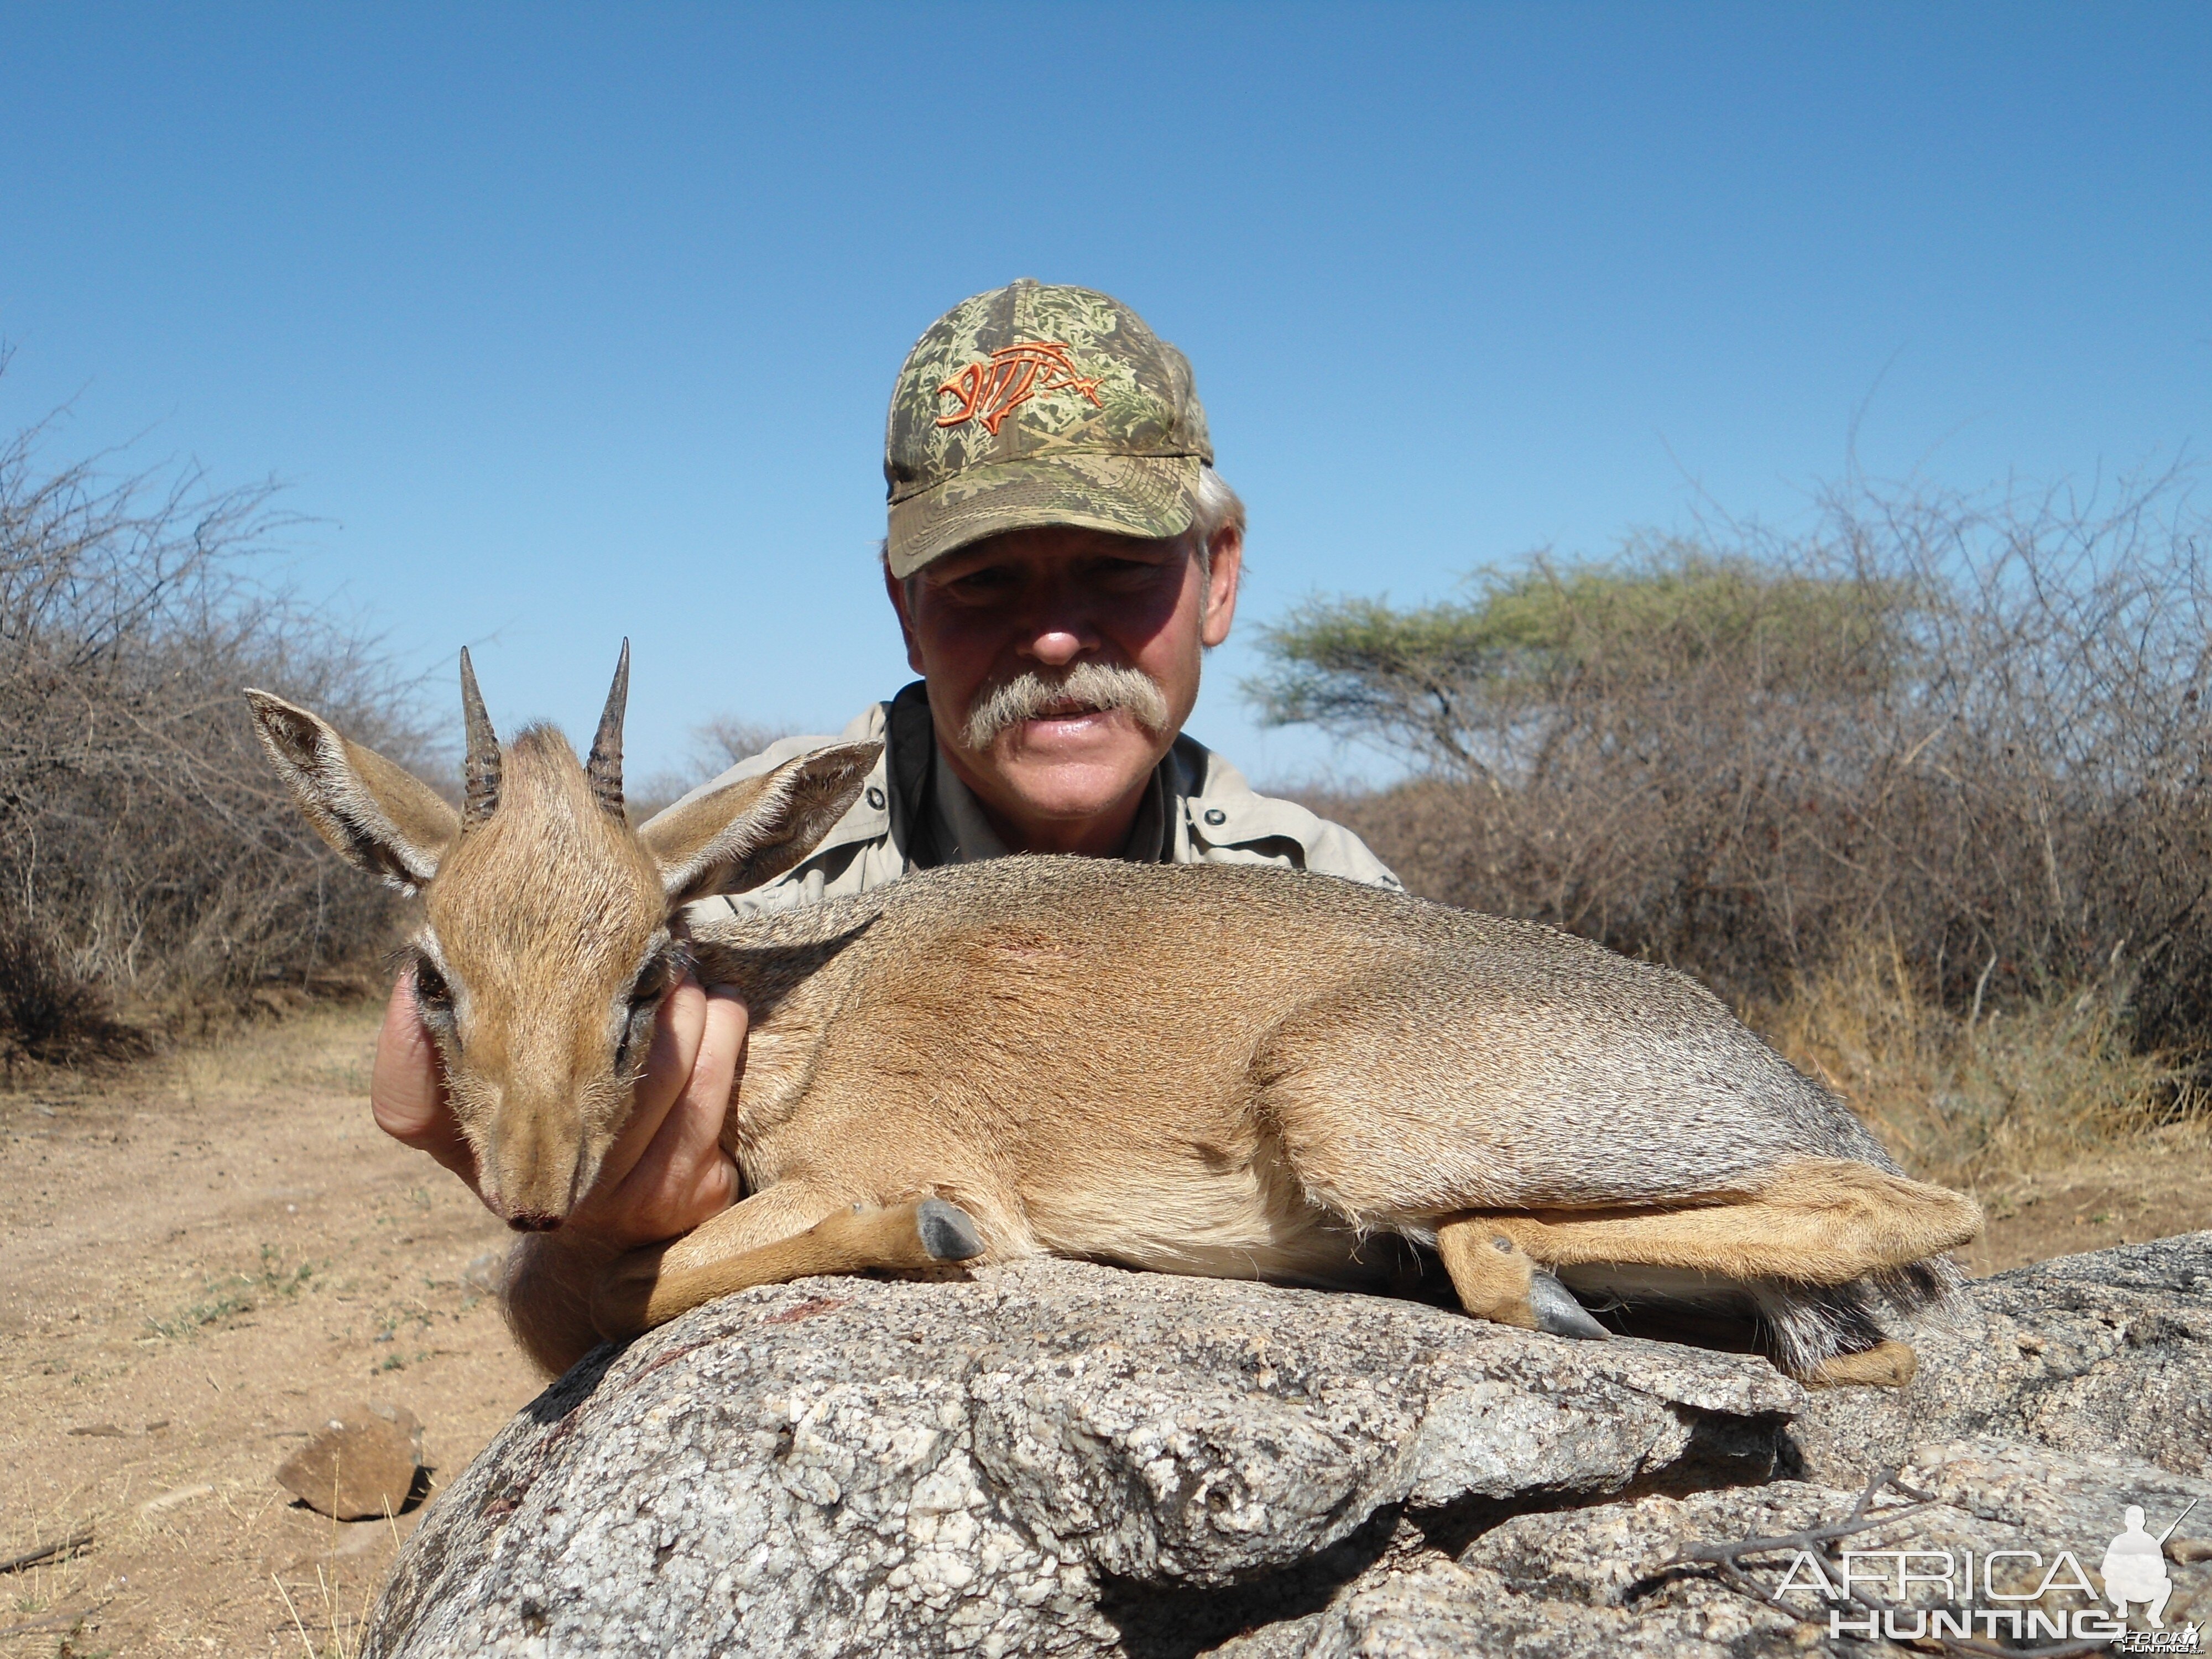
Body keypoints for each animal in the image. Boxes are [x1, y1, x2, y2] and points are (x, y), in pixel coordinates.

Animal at [251, 650, 1982, 1389]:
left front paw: (927, 1238)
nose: (534, 1187)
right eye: (433, 973)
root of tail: (1776, 1070)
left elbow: (621, 1291)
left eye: (643, 976)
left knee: (1921, 1202)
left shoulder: (868, 1162)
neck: (800, 1004)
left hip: (1352, 1107)